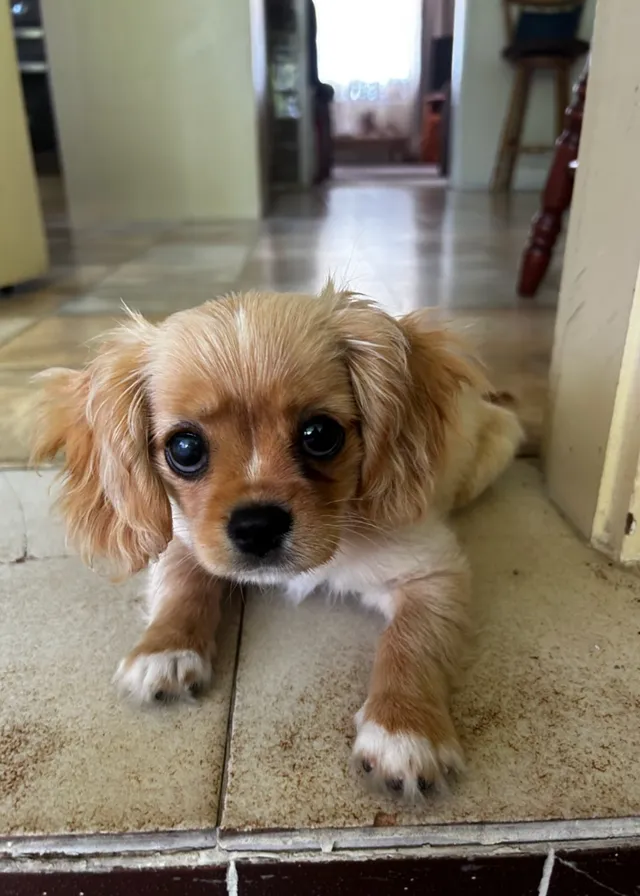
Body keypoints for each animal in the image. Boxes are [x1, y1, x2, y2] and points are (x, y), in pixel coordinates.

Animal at [32, 286, 524, 800]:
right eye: (184, 448)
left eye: (320, 434)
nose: (257, 526)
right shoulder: (186, 539)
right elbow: (184, 586)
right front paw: (163, 650)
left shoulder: (431, 570)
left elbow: (410, 641)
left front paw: (405, 731)